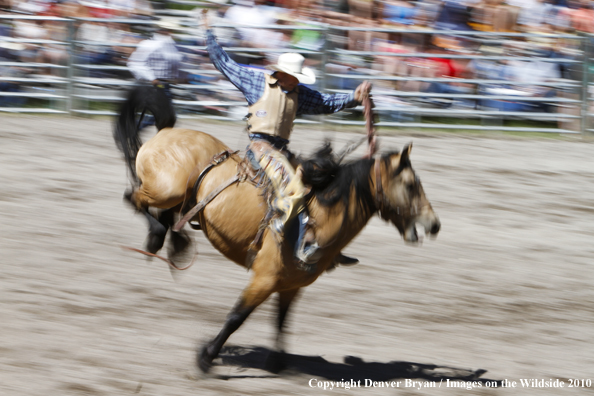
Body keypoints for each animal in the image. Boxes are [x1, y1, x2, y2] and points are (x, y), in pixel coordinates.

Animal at [114, 84, 440, 374]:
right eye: (410, 185)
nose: (434, 224)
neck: (317, 219)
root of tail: (166, 131)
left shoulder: (290, 285)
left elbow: (281, 321)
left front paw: (276, 362)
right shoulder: (264, 278)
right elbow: (237, 317)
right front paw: (205, 357)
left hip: (180, 197)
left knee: (165, 214)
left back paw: (174, 243)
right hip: (165, 190)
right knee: (133, 198)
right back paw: (157, 239)